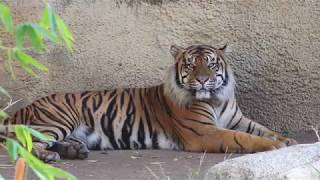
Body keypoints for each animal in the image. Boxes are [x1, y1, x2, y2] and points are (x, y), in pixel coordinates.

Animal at [1, 44, 298, 162]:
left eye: (211, 64)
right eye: (191, 64)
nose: (203, 80)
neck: (215, 99)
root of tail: (23, 108)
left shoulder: (238, 119)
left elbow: (261, 129)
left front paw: (288, 140)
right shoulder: (204, 132)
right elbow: (242, 138)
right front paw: (274, 146)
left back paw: (75, 150)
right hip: (58, 119)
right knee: (23, 143)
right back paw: (50, 156)